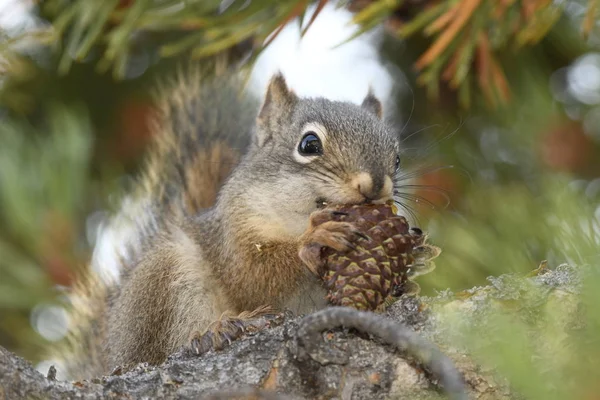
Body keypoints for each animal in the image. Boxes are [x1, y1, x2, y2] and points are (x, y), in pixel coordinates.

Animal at [55, 64, 404, 380]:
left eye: (397, 157)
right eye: (309, 144)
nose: (375, 185)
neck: (295, 220)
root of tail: (112, 356)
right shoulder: (232, 235)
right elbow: (250, 277)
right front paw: (313, 240)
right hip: (162, 280)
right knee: (162, 349)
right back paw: (218, 331)